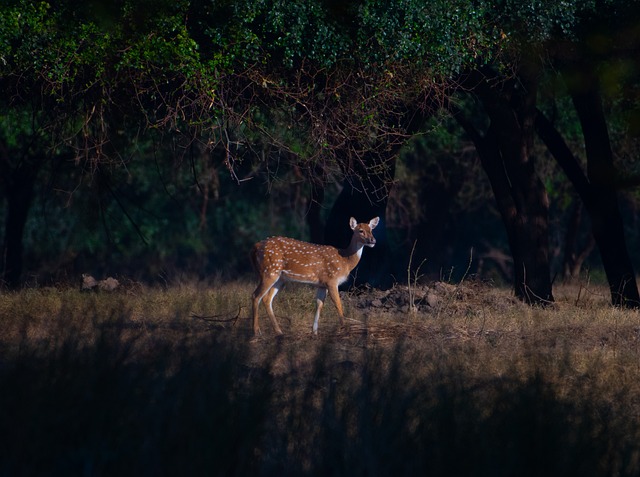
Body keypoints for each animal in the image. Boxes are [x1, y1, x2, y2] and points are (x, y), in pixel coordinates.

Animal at [251, 216, 380, 334]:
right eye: (360, 230)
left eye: (371, 230)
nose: (373, 240)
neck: (345, 261)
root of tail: (256, 246)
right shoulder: (332, 280)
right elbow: (339, 305)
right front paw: (344, 330)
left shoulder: (322, 284)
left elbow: (319, 305)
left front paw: (314, 332)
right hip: (269, 271)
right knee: (256, 296)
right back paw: (256, 331)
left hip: (280, 278)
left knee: (267, 299)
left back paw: (278, 332)